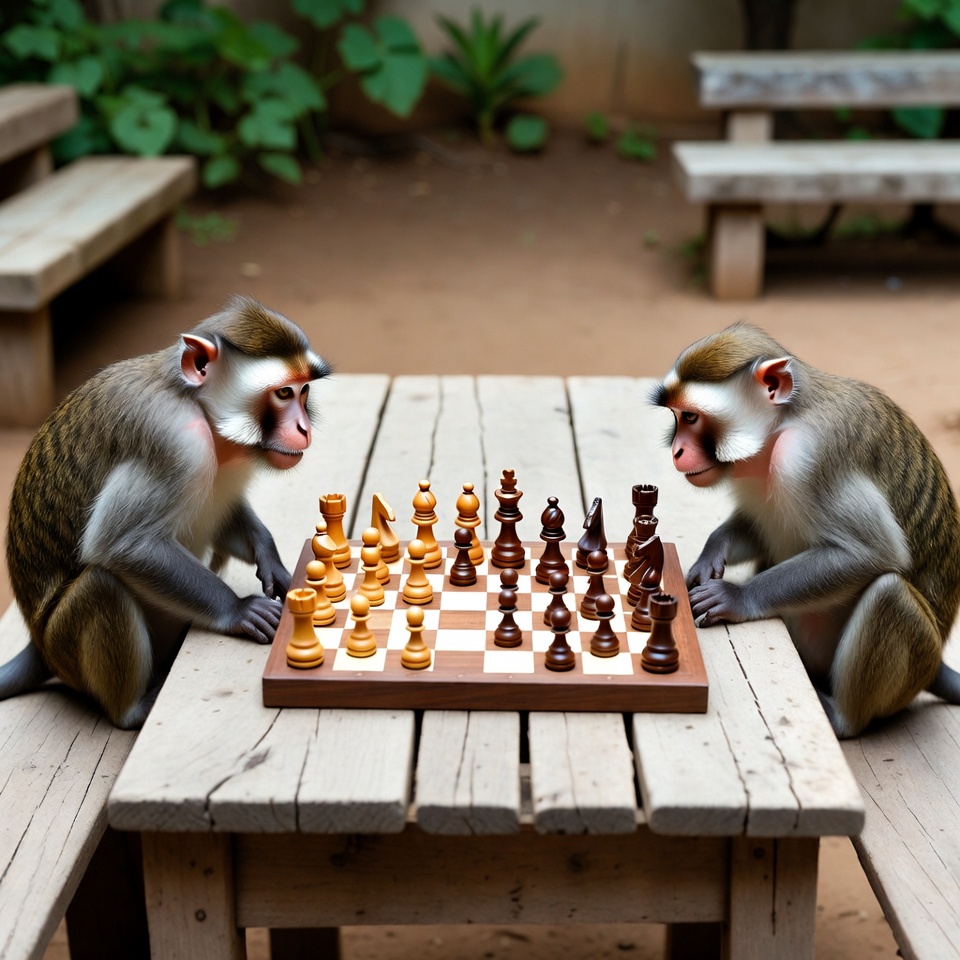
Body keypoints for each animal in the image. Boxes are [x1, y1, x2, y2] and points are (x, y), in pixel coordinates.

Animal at [0, 296, 330, 729]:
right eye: (283, 392)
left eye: (304, 390)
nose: (304, 428)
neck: (200, 409)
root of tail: (39, 647)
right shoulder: (171, 443)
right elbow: (122, 544)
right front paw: (237, 609)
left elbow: (224, 519)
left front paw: (271, 560)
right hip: (64, 648)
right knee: (101, 584)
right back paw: (130, 711)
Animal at [653, 321, 960, 738]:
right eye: (677, 417)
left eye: (690, 417)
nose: (677, 452)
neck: (778, 430)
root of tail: (935, 665)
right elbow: (755, 529)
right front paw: (709, 556)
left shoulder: (813, 457)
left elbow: (872, 552)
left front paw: (736, 597)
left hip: (914, 666)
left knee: (889, 592)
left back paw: (843, 718)